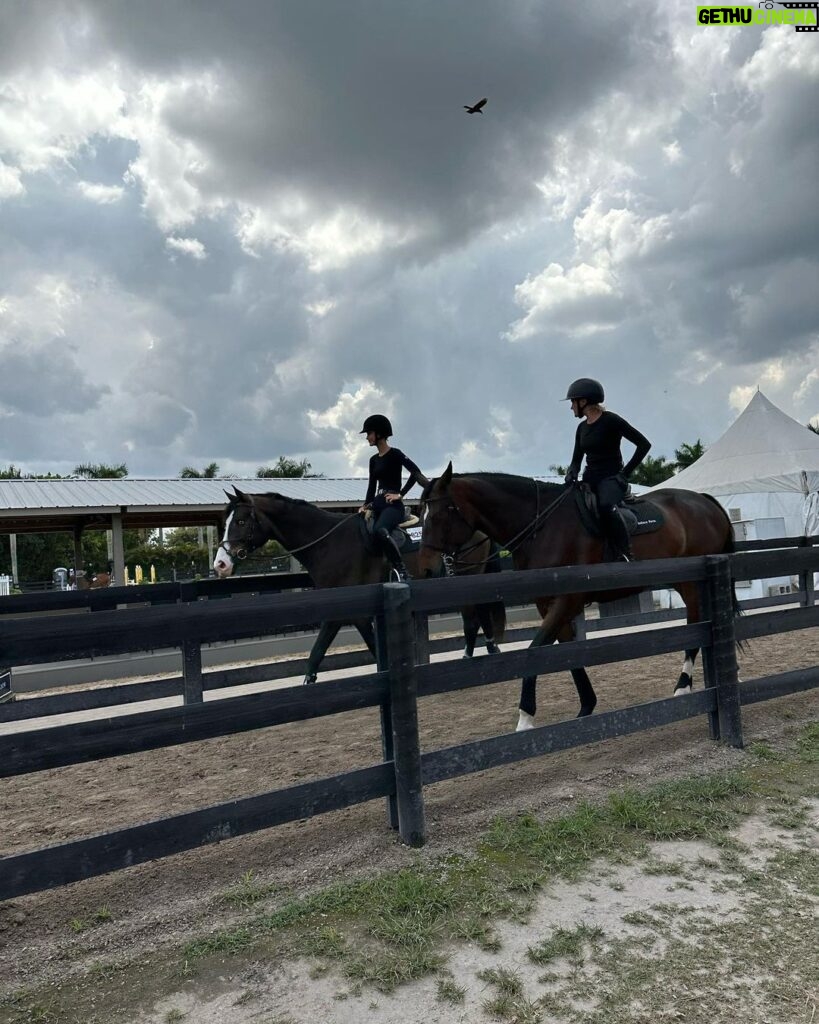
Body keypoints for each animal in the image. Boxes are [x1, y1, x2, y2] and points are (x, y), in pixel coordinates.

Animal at [212, 489, 505, 684]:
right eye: (225, 523)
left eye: (240, 521)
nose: (220, 564)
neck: (328, 542)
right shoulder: (355, 613)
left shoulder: (345, 611)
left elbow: (323, 650)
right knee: (474, 618)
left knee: (476, 616)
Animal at [419, 468, 733, 733]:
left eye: (439, 514)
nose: (426, 569)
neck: (542, 527)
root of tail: (704, 501)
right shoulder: (547, 603)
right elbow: (567, 652)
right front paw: (586, 706)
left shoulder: (567, 600)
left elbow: (535, 651)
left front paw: (525, 717)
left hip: (692, 585)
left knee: (694, 627)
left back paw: (683, 687)